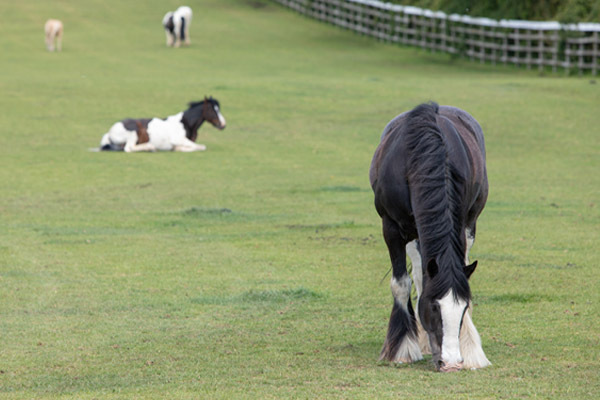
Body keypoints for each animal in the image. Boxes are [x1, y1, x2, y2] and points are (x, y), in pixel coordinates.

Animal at [370, 102, 492, 372]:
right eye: (434, 307)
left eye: (463, 307)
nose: (451, 363)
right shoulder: (391, 227)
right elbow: (401, 283)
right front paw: (403, 349)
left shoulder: (460, 223)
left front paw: (470, 349)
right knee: (417, 274)